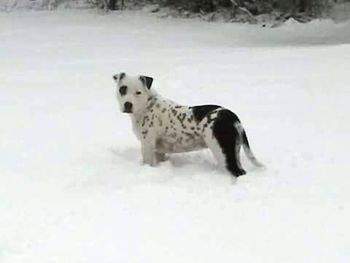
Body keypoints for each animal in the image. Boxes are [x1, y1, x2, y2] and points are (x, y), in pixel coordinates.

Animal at [113, 72, 262, 177]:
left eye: (138, 92)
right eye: (122, 89)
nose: (128, 104)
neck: (146, 105)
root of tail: (232, 117)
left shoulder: (147, 145)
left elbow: (148, 163)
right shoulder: (159, 149)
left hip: (222, 151)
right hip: (233, 150)